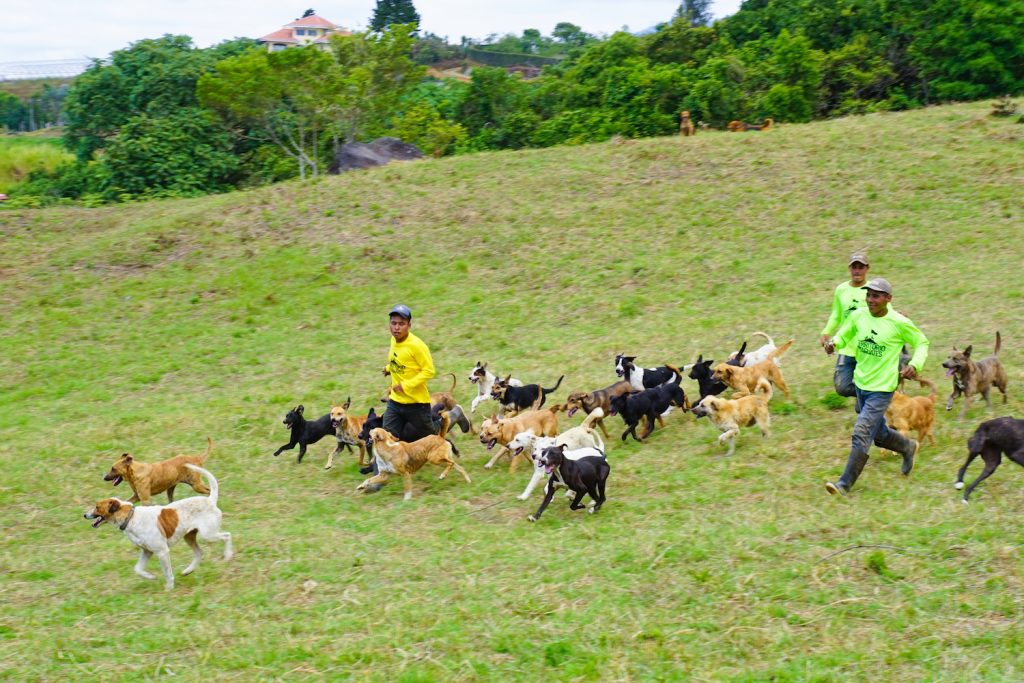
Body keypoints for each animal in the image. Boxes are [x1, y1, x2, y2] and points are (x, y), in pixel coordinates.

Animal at [83, 464, 232, 593]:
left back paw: (228, 556)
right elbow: (138, 569)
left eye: (97, 507)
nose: (84, 515)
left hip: (208, 534)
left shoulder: (162, 552)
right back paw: (188, 570)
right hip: (189, 536)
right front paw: (151, 577)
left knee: (227, 535)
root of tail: (211, 500)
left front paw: (169, 588)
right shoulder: (147, 552)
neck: (131, 517)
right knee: (199, 553)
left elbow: (168, 573)